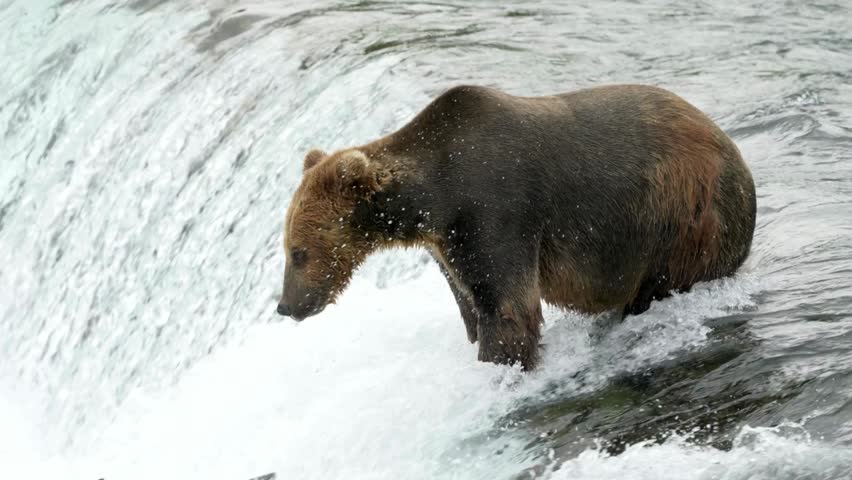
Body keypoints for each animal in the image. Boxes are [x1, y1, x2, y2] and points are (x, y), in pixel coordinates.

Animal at [276, 84, 756, 371]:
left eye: (298, 252)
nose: (286, 306)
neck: (433, 195)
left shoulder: (495, 209)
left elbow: (508, 306)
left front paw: (500, 363)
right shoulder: (448, 241)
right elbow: (469, 301)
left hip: (680, 217)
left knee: (662, 281)